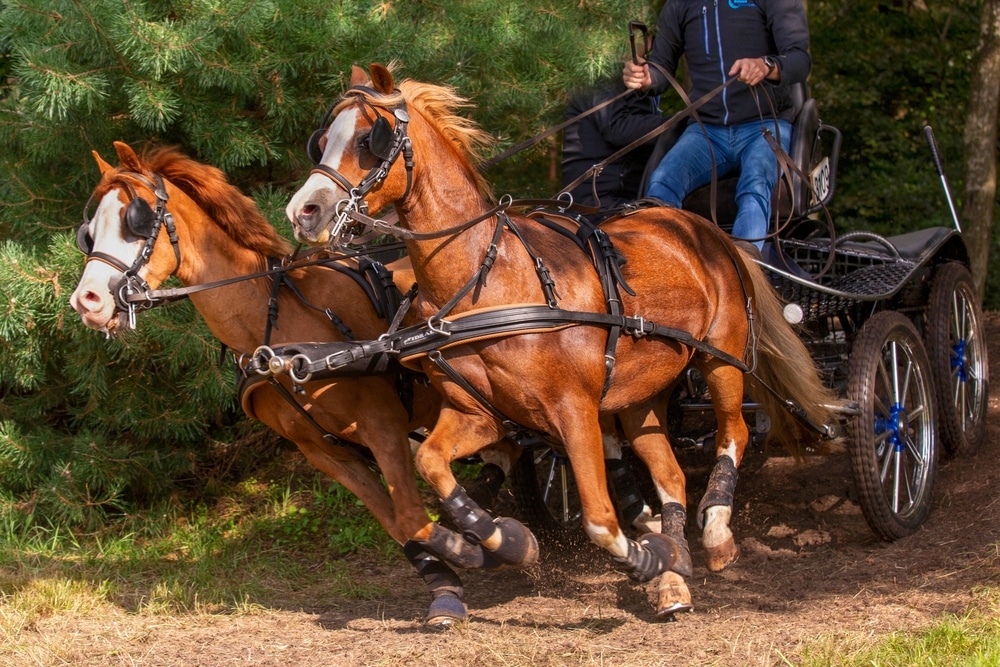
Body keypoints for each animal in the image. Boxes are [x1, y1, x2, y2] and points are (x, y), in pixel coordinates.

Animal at [68, 141, 516, 628]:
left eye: (137, 218)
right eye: (88, 232)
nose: (86, 300)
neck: (278, 329)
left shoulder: (383, 426)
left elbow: (413, 514)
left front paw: (495, 547)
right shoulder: (323, 451)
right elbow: (400, 523)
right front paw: (450, 582)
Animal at [286, 65, 840, 624]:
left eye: (368, 139)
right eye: (322, 140)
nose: (303, 212)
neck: (488, 280)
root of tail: (702, 226)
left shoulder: (574, 411)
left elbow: (598, 518)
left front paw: (644, 557)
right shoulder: (478, 414)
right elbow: (432, 464)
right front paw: (507, 541)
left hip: (720, 359)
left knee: (735, 432)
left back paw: (716, 532)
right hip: (641, 393)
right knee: (670, 472)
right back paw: (674, 573)